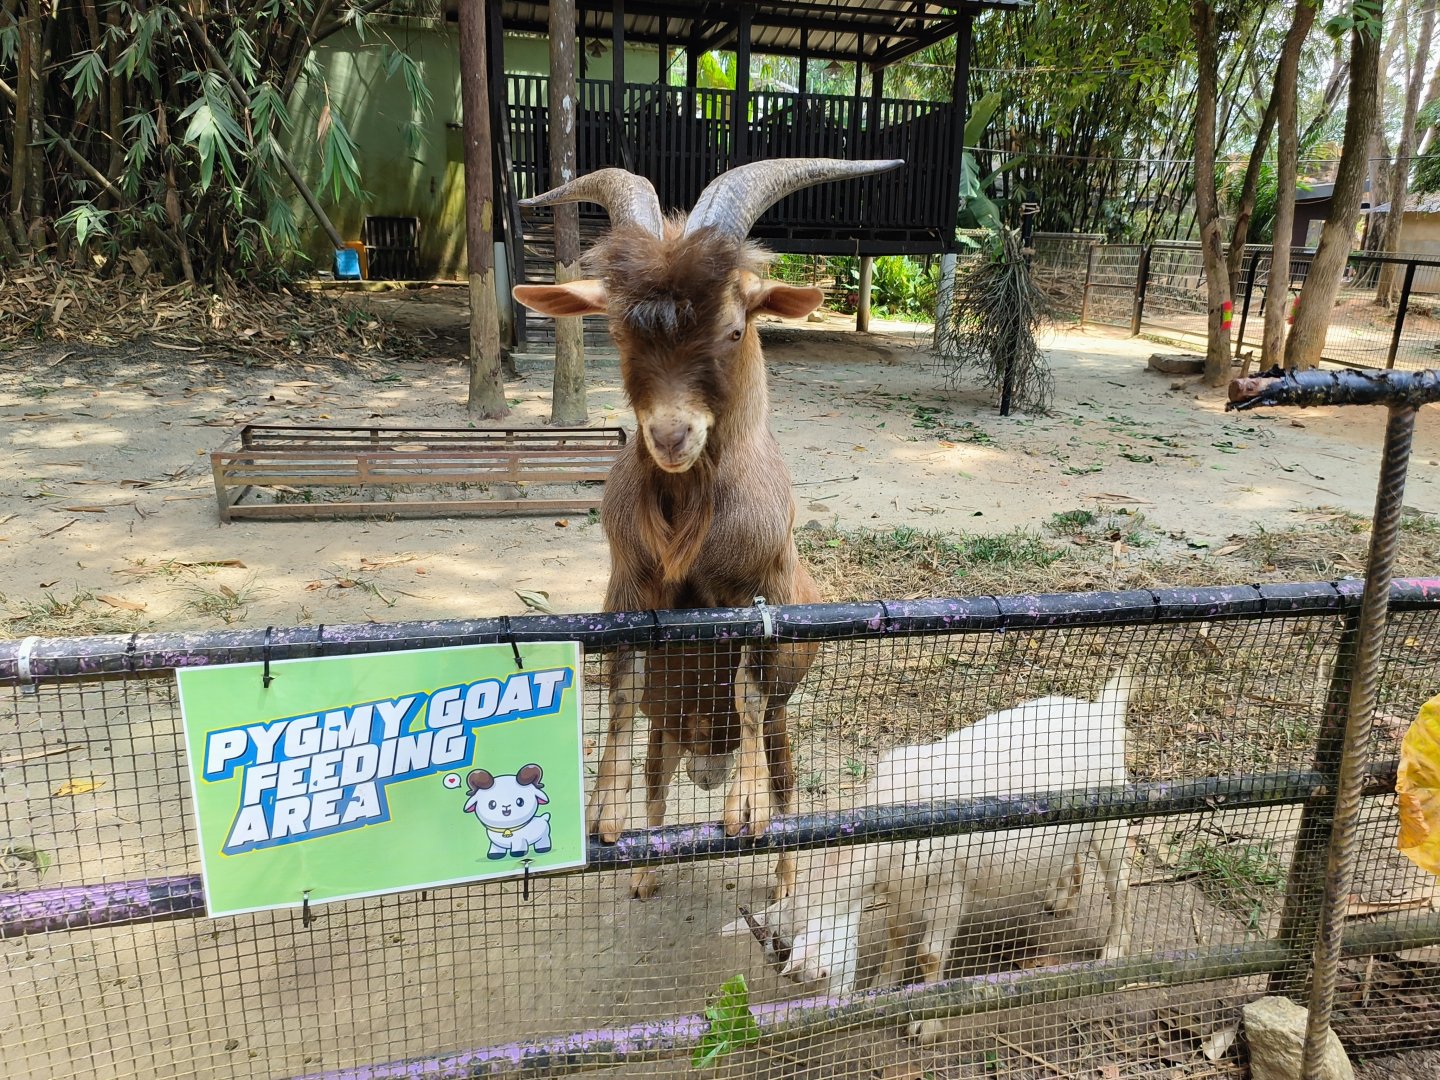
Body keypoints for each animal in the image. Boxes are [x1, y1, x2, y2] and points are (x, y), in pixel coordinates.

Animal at [513, 159, 902, 899]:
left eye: (732, 329)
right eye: (617, 330)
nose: (671, 436)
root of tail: (704, 754)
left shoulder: (759, 598)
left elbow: (747, 692)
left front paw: (741, 811)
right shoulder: (629, 591)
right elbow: (622, 695)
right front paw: (602, 813)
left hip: (783, 729)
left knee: (787, 787)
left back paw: (782, 878)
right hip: (669, 734)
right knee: (658, 785)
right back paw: (645, 871)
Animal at [727, 673, 1133, 1043]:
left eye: (817, 974)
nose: (832, 1006)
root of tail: (1102, 712)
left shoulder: (949, 891)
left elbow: (929, 955)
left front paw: (927, 1021)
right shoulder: (897, 890)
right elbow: (895, 935)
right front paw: (883, 983)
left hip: (1111, 819)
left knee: (1120, 881)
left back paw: (1113, 949)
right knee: (1072, 855)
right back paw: (1060, 900)